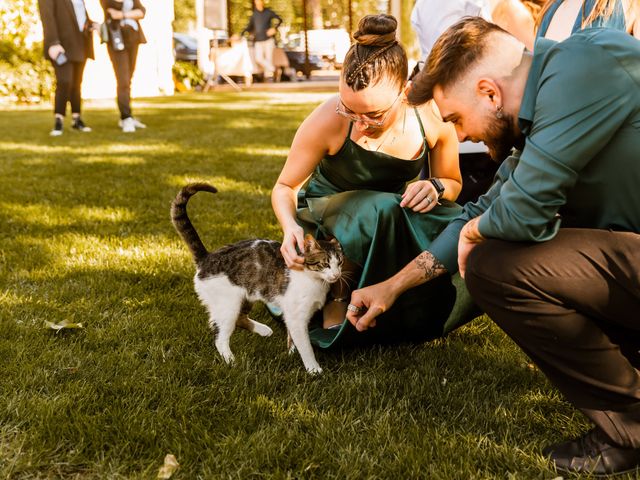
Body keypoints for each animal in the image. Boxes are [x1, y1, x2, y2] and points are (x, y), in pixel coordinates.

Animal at [168, 182, 342, 374]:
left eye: (340, 263)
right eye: (325, 264)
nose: (337, 275)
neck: (315, 281)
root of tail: (207, 257)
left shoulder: (292, 313)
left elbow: (292, 337)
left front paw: (290, 353)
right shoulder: (297, 316)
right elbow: (305, 345)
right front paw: (313, 369)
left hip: (245, 297)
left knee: (240, 319)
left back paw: (264, 330)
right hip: (228, 305)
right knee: (220, 338)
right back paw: (232, 361)